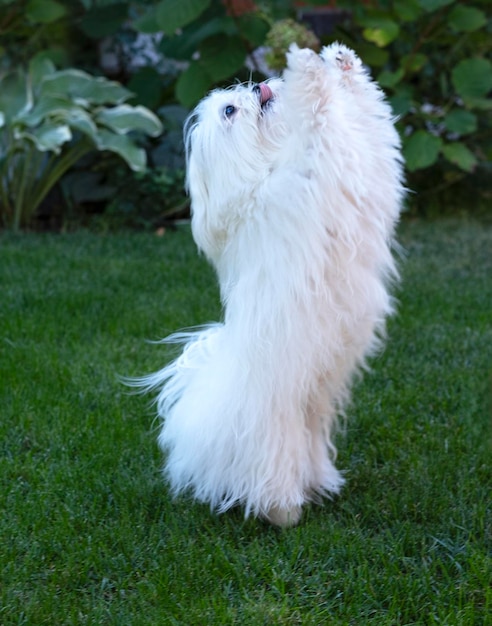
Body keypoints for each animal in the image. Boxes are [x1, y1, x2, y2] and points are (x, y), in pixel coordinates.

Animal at [135, 42, 404, 528]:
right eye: (229, 111)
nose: (258, 86)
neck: (260, 174)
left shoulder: (370, 165)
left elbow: (366, 119)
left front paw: (342, 63)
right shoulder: (309, 175)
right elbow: (320, 121)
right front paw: (307, 68)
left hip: (313, 414)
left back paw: (320, 486)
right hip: (269, 430)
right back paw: (283, 511)